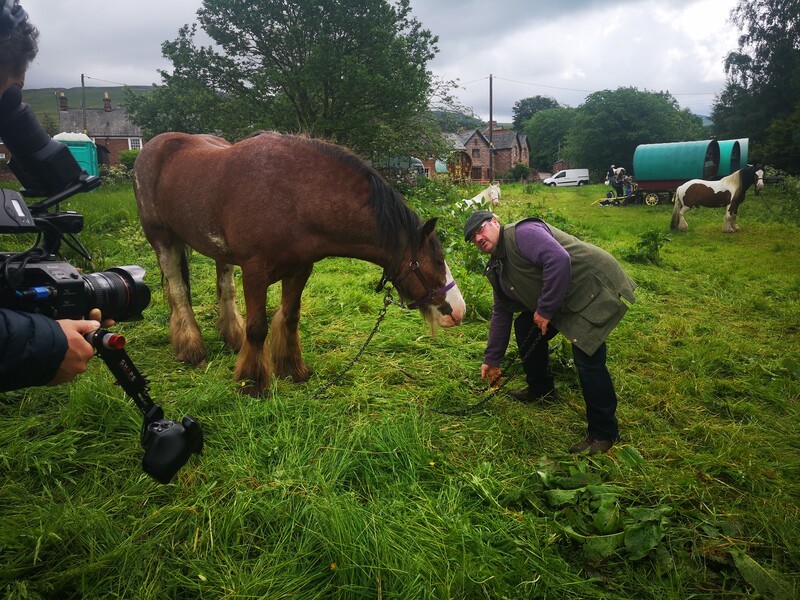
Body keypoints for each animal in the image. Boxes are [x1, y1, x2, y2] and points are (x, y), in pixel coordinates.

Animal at [134, 131, 466, 394]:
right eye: (438, 260)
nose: (459, 310)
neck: (295, 194)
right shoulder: (255, 271)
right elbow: (258, 327)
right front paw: (252, 382)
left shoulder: (300, 269)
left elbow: (290, 318)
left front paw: (292, 369)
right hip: (162, 239)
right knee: (178, 293)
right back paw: (191, 348)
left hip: (220, 252)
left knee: (225, 289)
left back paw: (232, 338)